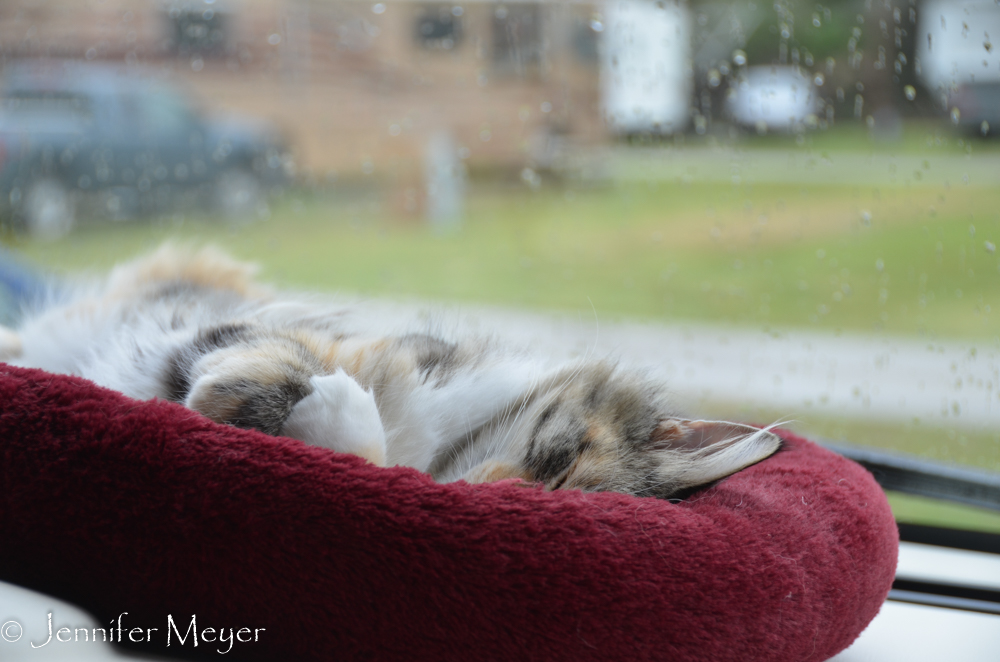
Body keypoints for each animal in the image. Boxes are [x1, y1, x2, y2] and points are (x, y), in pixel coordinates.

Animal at [0, 246, 780, 500]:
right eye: (556, 468)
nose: (491, 493)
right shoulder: (261, 331)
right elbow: (279, 364)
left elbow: (362, 448)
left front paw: (339, 417)